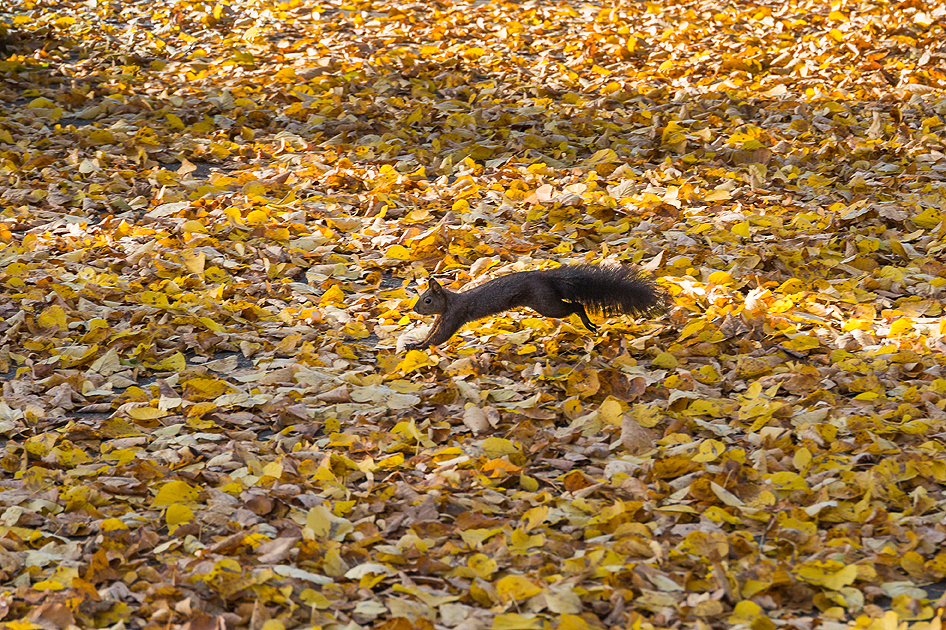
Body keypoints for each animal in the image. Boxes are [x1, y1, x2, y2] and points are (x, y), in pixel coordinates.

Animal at [402, 262, 660, 350]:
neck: (449, 302)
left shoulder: (454, 315)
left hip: (545, 303)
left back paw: (587, 322)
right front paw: (417, 343)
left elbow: (440, 337)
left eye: (427, 300)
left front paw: (418, 347)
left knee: (576, 305)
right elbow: (433, 333)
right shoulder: (442, 318)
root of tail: (547, 277)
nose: (415, 310)